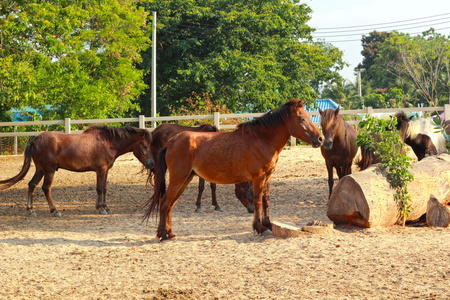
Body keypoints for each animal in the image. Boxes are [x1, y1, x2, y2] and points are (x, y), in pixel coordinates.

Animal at [0, 125, 155, 217]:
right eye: (145, 146)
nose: (151, 164)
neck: (107, 142)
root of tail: (35, 139)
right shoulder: (101, 170)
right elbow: (99, 188)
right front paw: (101, 208)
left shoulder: (106, 170)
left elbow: (104, 188)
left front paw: (106, 207)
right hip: (49, 171)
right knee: (46, 188)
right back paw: (54, 210)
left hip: (40, 170)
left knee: (32, 185)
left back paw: (31, 210)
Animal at [144, 99, 324, 241]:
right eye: (302, 119)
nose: (321, 138)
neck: (261, 139)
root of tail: (171, 142)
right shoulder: (258, 178)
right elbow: (258, 202)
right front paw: (259, 227)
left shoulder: (268, 177)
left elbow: (266, 201)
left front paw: (268, 224)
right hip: (179, 178)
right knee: (165, 203)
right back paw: (163, 235)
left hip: (186, 179)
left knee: (170, 204)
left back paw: (170, 233)